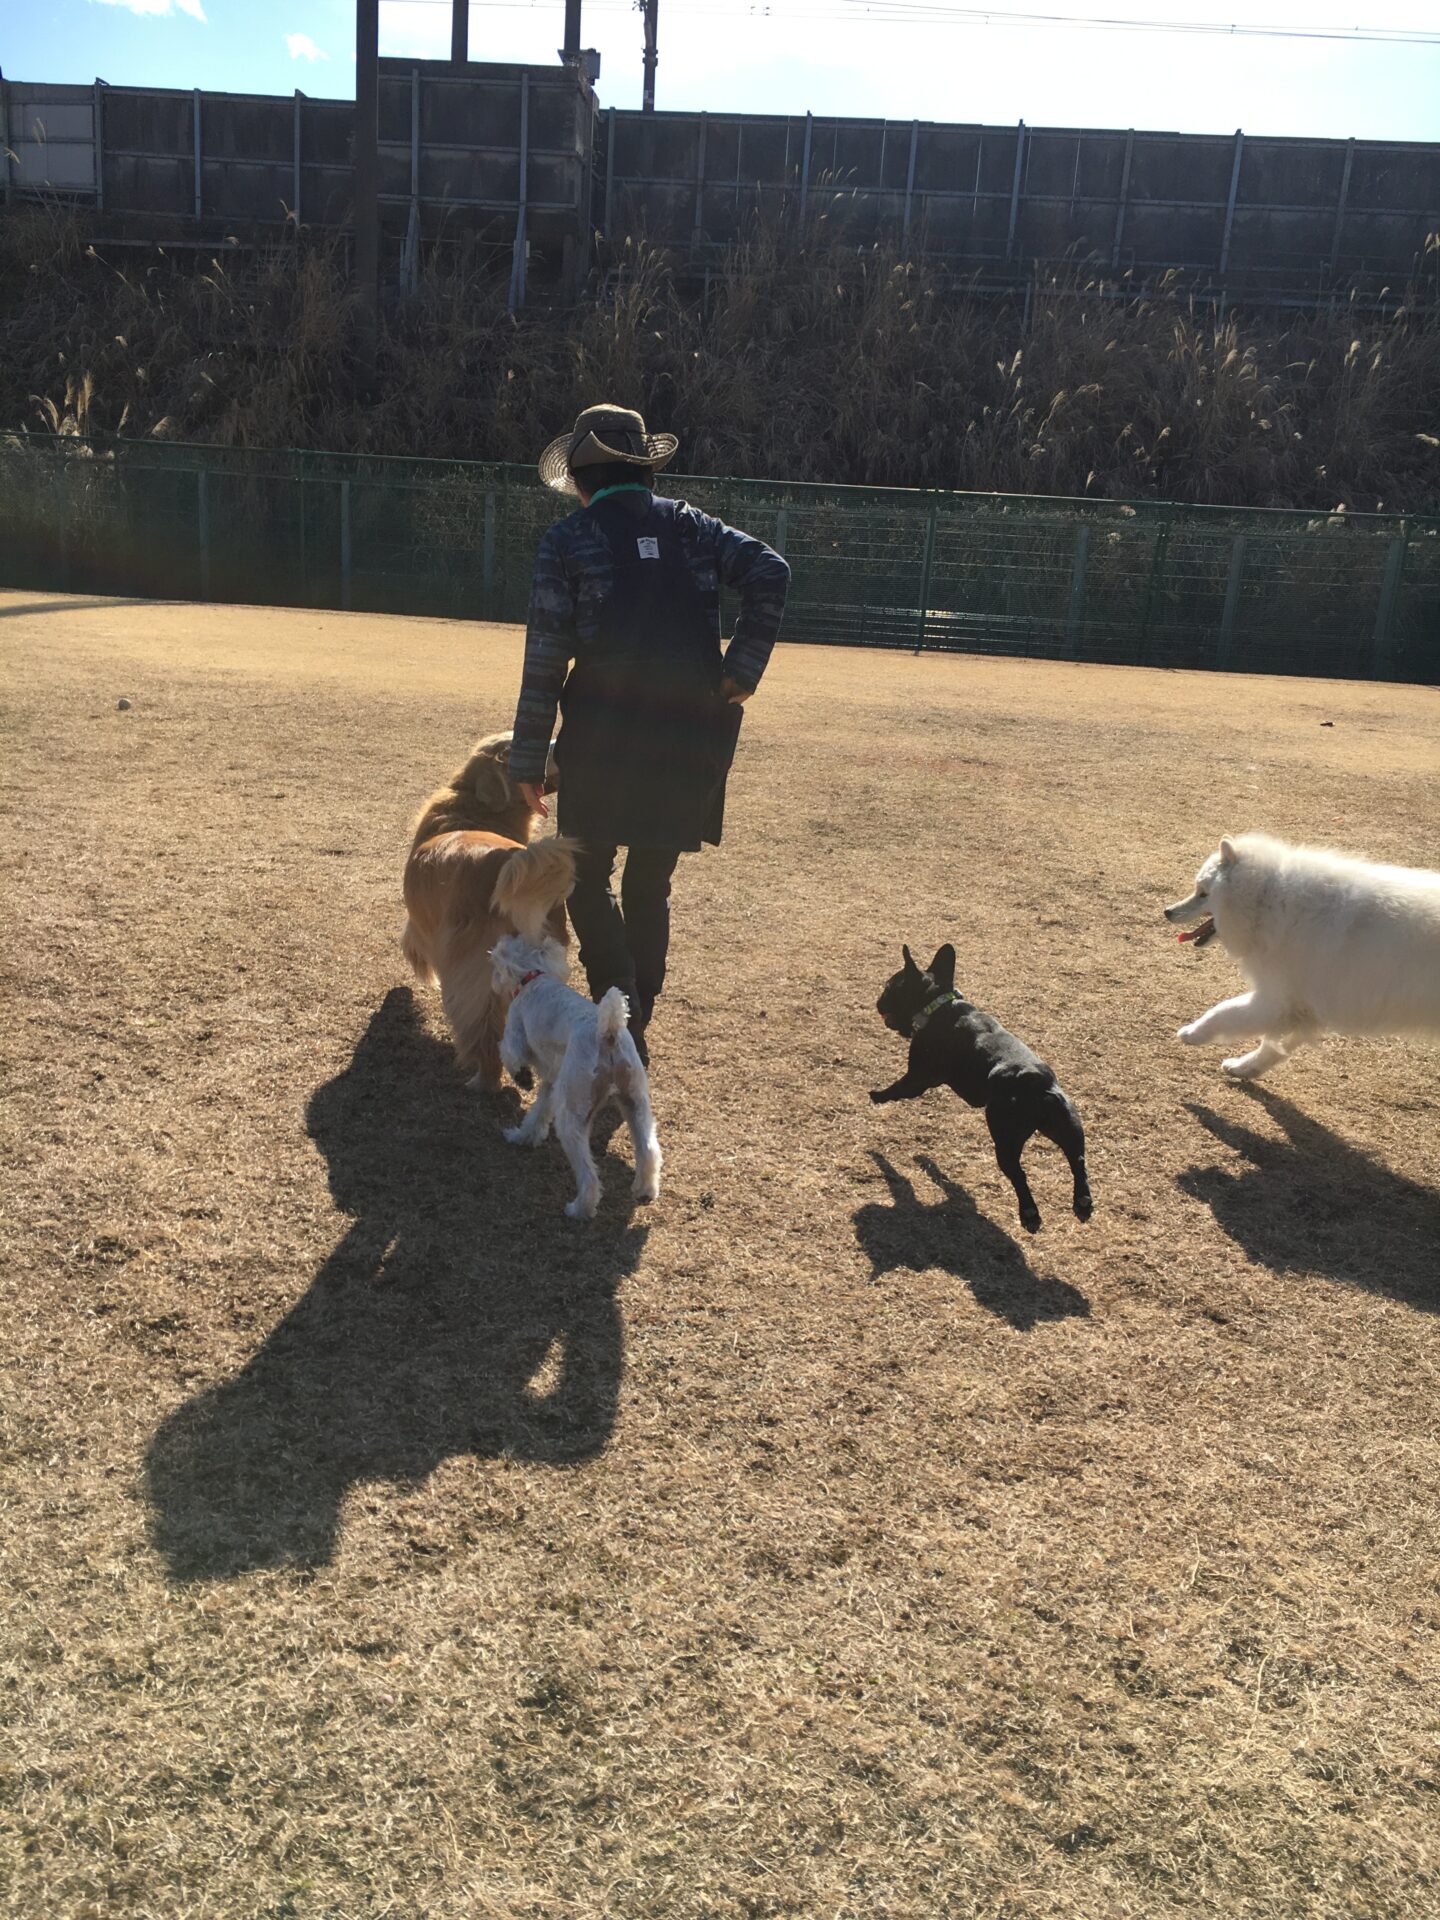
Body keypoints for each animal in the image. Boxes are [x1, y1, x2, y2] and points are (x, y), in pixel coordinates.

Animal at [402, 732, 576, 1091]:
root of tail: (508, 863)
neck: (473, 809)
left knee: (482, 1032)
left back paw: (483, 1081)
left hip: (475, 972)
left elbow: (412, 944)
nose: (560, 741)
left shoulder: (422, 925)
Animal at [489, 934, 662, 1221]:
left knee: (589, 1176)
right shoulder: (552, 1081)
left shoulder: (515, 1031)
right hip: (634, 1102)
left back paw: (579, 1209)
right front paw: (524, 1137)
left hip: (573, 1115)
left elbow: (510, 1053)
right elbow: (538, 1113)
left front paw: (522, 1078)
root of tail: (608, 1034)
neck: (534, 978)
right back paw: (645, 1190)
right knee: (649, 1150)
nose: (493, 981)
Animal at [871, 943, 1092, 1233]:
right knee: (1078, 1160)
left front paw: (877, 1095)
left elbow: (898, 1089)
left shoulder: (918, 1078)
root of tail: (1033, 1081)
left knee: (1018, 1174)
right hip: (1069, 1125)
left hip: (1005, 1138)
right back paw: (1082, 1200)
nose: (878, 1002)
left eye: (888, 988)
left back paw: (1029, 1212)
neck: (938, 1005)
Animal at [1166, 832, 1440, 1079]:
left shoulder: (1276, 1000)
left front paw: (1192, 1033)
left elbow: (1224, 1011)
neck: (1269, 901)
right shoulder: (1301, 1007)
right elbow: (1273, 1047)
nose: (1167, 911)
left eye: (1203, 893)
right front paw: (1246, 1068)